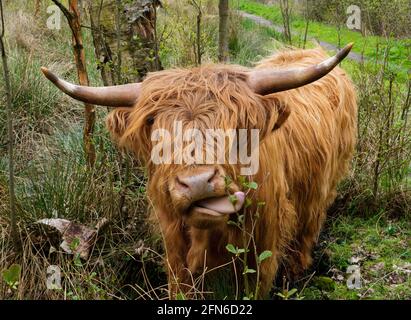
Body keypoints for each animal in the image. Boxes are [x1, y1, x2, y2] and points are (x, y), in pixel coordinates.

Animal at [41, 43, 358, 298]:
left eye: (237, 123)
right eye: (153, 122)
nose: (197, 183)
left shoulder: (263, 243)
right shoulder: (174, 243)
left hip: (323, 188)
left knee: (310, 223)